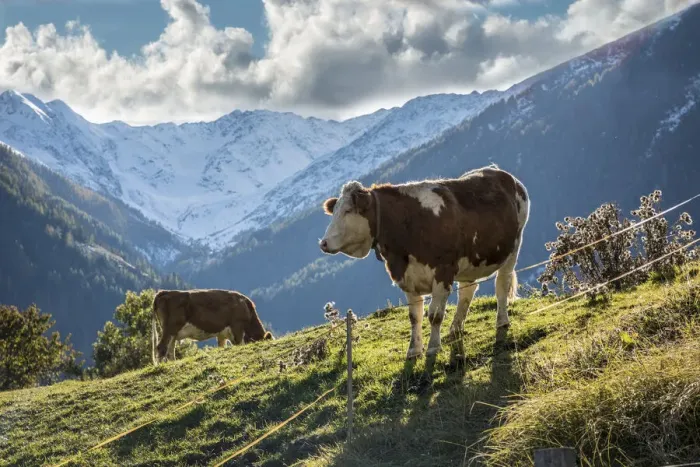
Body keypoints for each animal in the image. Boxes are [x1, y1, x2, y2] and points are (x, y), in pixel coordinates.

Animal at [319, 165, 530, 360]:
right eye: (334, 211)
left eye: (347, 211)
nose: (323, 243)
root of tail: (499, 171)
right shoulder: (407, 277)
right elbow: (415, 316)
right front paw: (414, 350)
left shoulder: (443, 271)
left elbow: (435, 315)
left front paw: (433, 347)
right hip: (469, 261)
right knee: (467, 291)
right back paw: (455, 328)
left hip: (513, 247)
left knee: (502, 284)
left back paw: (501, 320)